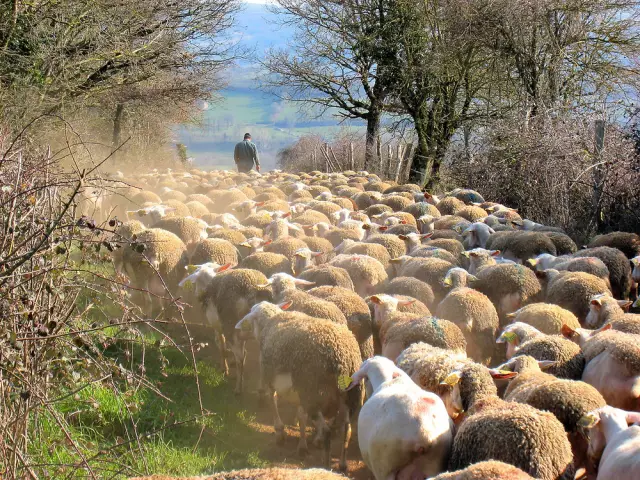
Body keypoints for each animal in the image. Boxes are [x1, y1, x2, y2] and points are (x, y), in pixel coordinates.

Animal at [238, 304, 362, 468]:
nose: (239, 330)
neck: (270, 321)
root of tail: (343, 357)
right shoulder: (299, 389)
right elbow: (301, 416)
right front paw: (302, 446)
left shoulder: (270, 377)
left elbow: (273, 401)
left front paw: (280, 434)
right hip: (349, 396)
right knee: (346, 430)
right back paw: (342, 464)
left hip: (315, 393)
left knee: (327, 431)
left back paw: (326, 465)